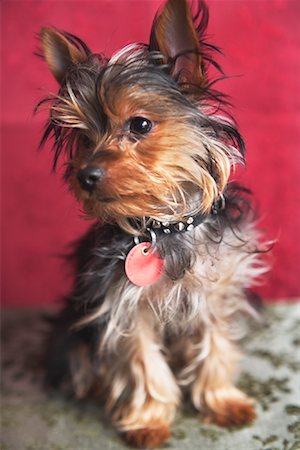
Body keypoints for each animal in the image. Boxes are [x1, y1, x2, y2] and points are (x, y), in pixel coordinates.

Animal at [38, 0, 268, 448]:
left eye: (140, 124)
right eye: (84, 138)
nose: (85, 175)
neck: (164, 226)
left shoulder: (216, 292)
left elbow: (215, 345)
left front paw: (221, 400)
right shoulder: (124, 306)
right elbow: (142, 365)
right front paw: (147, 420)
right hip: (71, 331)